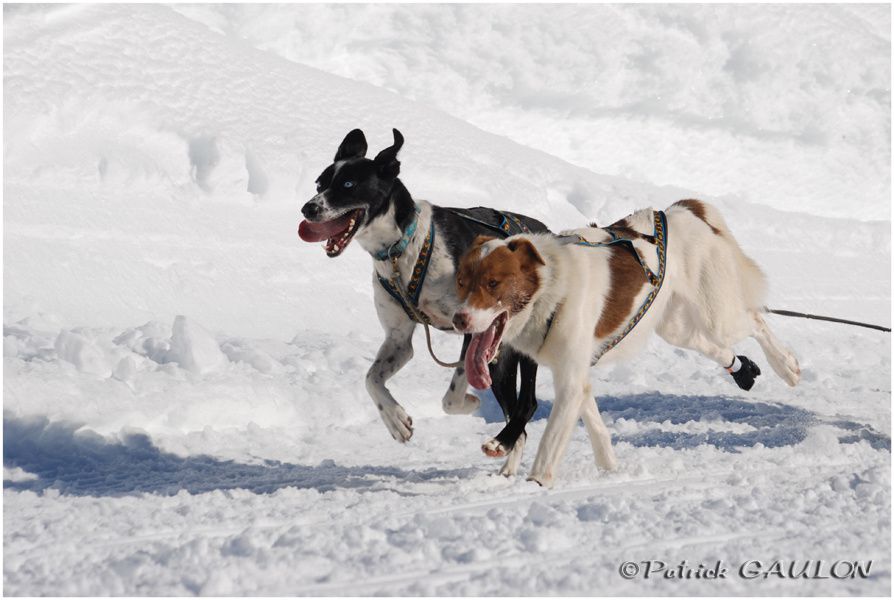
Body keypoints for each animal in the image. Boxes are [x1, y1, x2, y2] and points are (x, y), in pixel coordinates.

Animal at [300, 129, 552, 476]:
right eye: (319, 184)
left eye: (348, 184)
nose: (307, 208)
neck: (401, 249)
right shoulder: (398, 339)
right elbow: (371, 379)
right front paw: (396, 421)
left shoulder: (473, 330)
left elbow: (451, 398)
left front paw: (470, 403)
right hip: (501, 358)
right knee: (519, 420)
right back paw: (506, 469)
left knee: (527, 405)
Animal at [452, 200, 800, 488]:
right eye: (461, 282)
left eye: (493, 283)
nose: (459, 319)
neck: (552, 290)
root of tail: (682, 210)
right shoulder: (576, 374)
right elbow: (596, 427)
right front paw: (610, 468)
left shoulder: (570, 380)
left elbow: (550, 439)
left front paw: (536, 482)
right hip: (676, 329)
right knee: (718, 348)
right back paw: (744, 370)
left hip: (717, 316)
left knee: (755, 320)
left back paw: (786, 365)